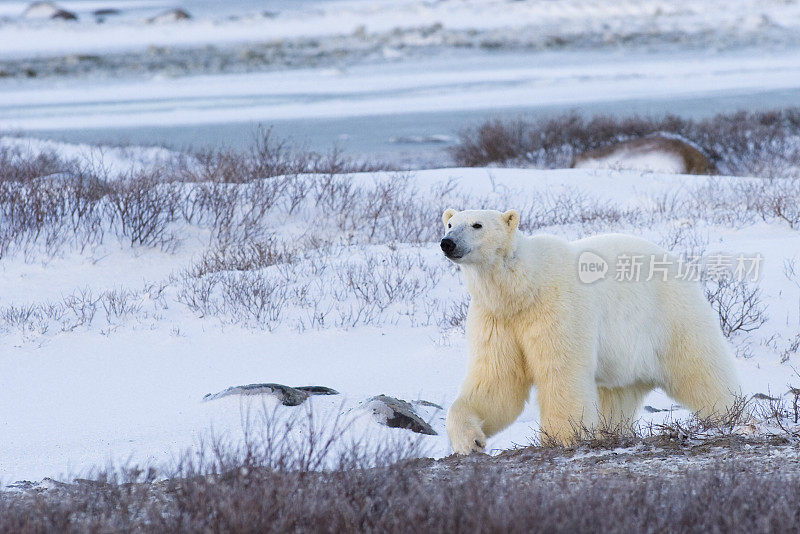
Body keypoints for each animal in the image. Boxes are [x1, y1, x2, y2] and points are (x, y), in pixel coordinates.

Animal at [440, 209, 740, 456]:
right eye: (450, 224)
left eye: (477, 224)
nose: (447, 243)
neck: (523, 287)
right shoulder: (498, 319)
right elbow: (497, 381)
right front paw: (471, 441)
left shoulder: (557, 308)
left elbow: (562, 371)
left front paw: (562, 438)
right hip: (625, 358)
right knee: (617, 395)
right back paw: (610, 431)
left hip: (670, 315)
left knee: (700, 369)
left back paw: (730, 415)